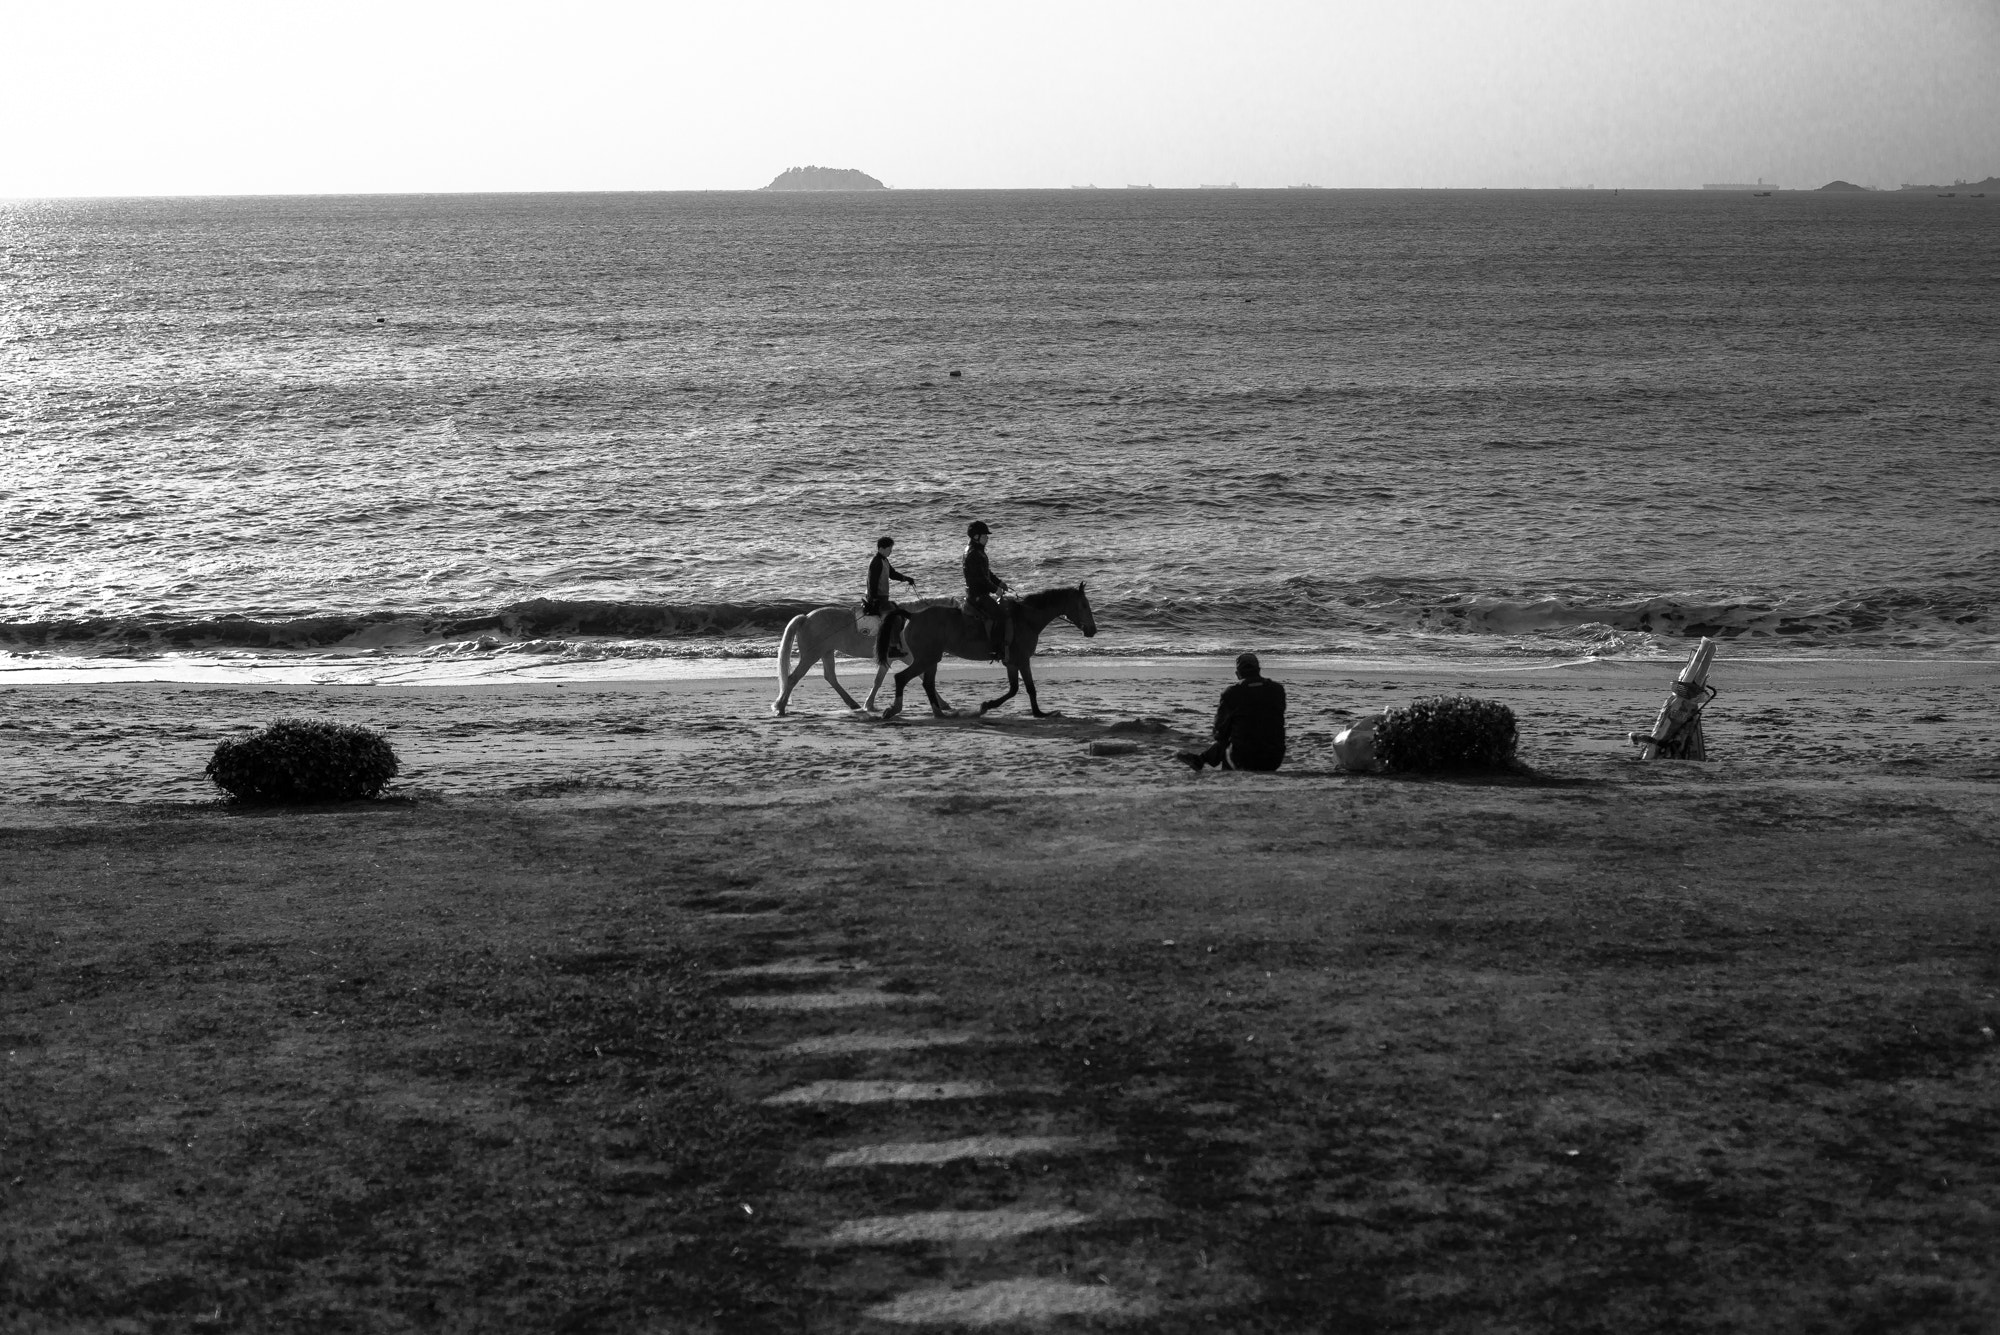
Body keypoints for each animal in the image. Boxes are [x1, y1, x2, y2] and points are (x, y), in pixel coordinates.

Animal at [772, 599, 944, 715]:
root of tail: (806, 618)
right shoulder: (907, 658)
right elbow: (883, 680)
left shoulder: (899, 659)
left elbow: (882, 680)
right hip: (811, 655)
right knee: (793, 678)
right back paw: (780, 708)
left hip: (826, 652)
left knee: (830, 677)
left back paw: (853, 704)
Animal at [872, 587, 1096, 719]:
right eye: (1084, 605)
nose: (1093, 630)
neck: (1026, 619)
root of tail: (913, 615)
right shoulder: (1023, 660)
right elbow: (1028, 688)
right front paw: (1039, 713)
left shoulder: (1012, 663)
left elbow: (1015, 689)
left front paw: (988, 705)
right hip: (926, 658)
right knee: (902, 678)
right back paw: (894, 709)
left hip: (931, 659)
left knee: (927, 683)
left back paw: (940, 713)